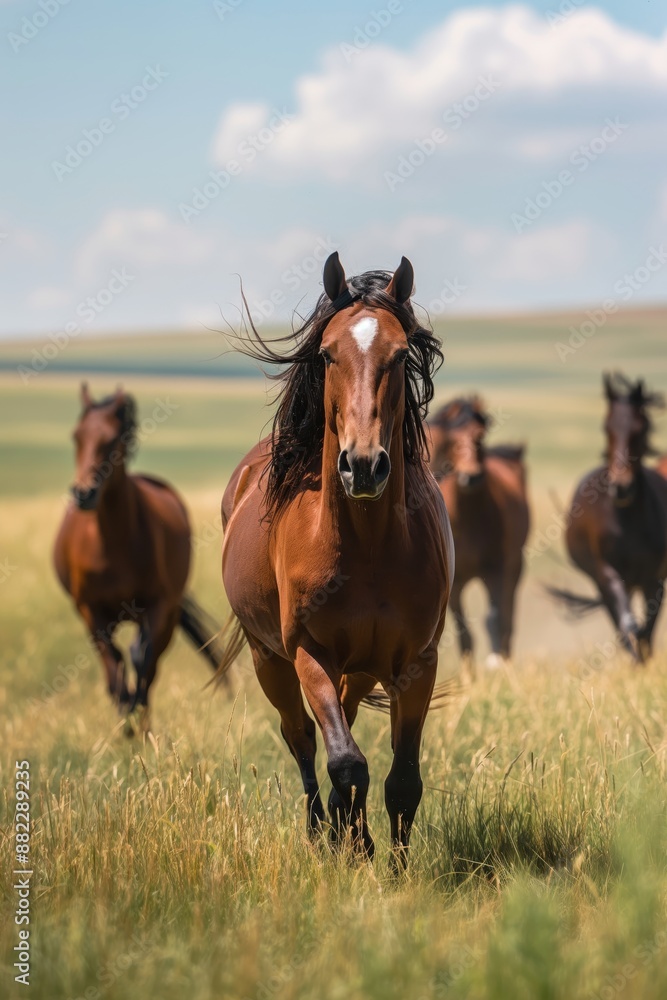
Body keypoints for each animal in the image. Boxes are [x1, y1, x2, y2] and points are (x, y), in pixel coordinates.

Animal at [54, 384, 226, 733]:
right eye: (77, 436)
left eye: (112, 439)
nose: (84, 493)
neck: (111, 544)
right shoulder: (90, 612)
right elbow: (113, 668)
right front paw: (127, 722)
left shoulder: (159, 607)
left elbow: (142, 662)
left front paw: (139, 722)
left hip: (166, 613)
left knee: (147, 659)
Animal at [215, 253, 453, 866]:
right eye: (326, 353)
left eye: (400, 354)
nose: (363, 465)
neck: (366, 547)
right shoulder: (309, 653)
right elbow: (345, 762)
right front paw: (355, 847)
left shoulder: (417, 662)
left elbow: (402, 779)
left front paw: (392, 864)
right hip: (268, 659)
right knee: (301, 736)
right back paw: (321, 828)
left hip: (361, 668)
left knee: (339, 722)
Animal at [427, 397, 529, 671]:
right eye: (451, 440)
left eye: (480, 436)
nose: (471, 477)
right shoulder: (455, 583)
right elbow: (463, 631)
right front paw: (468, 674)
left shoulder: (496, 570)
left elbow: (494, 618)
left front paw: (496, 664)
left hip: (515, 568)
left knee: (508, 617)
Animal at [549, 373, 667, 662]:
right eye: (607, 428)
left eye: (640, 428)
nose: (621, 487)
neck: (627, 521)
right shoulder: (608, 573)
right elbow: (628, 626)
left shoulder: (655, 579)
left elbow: (647, 631)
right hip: (601, 580)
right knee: (621, 624)